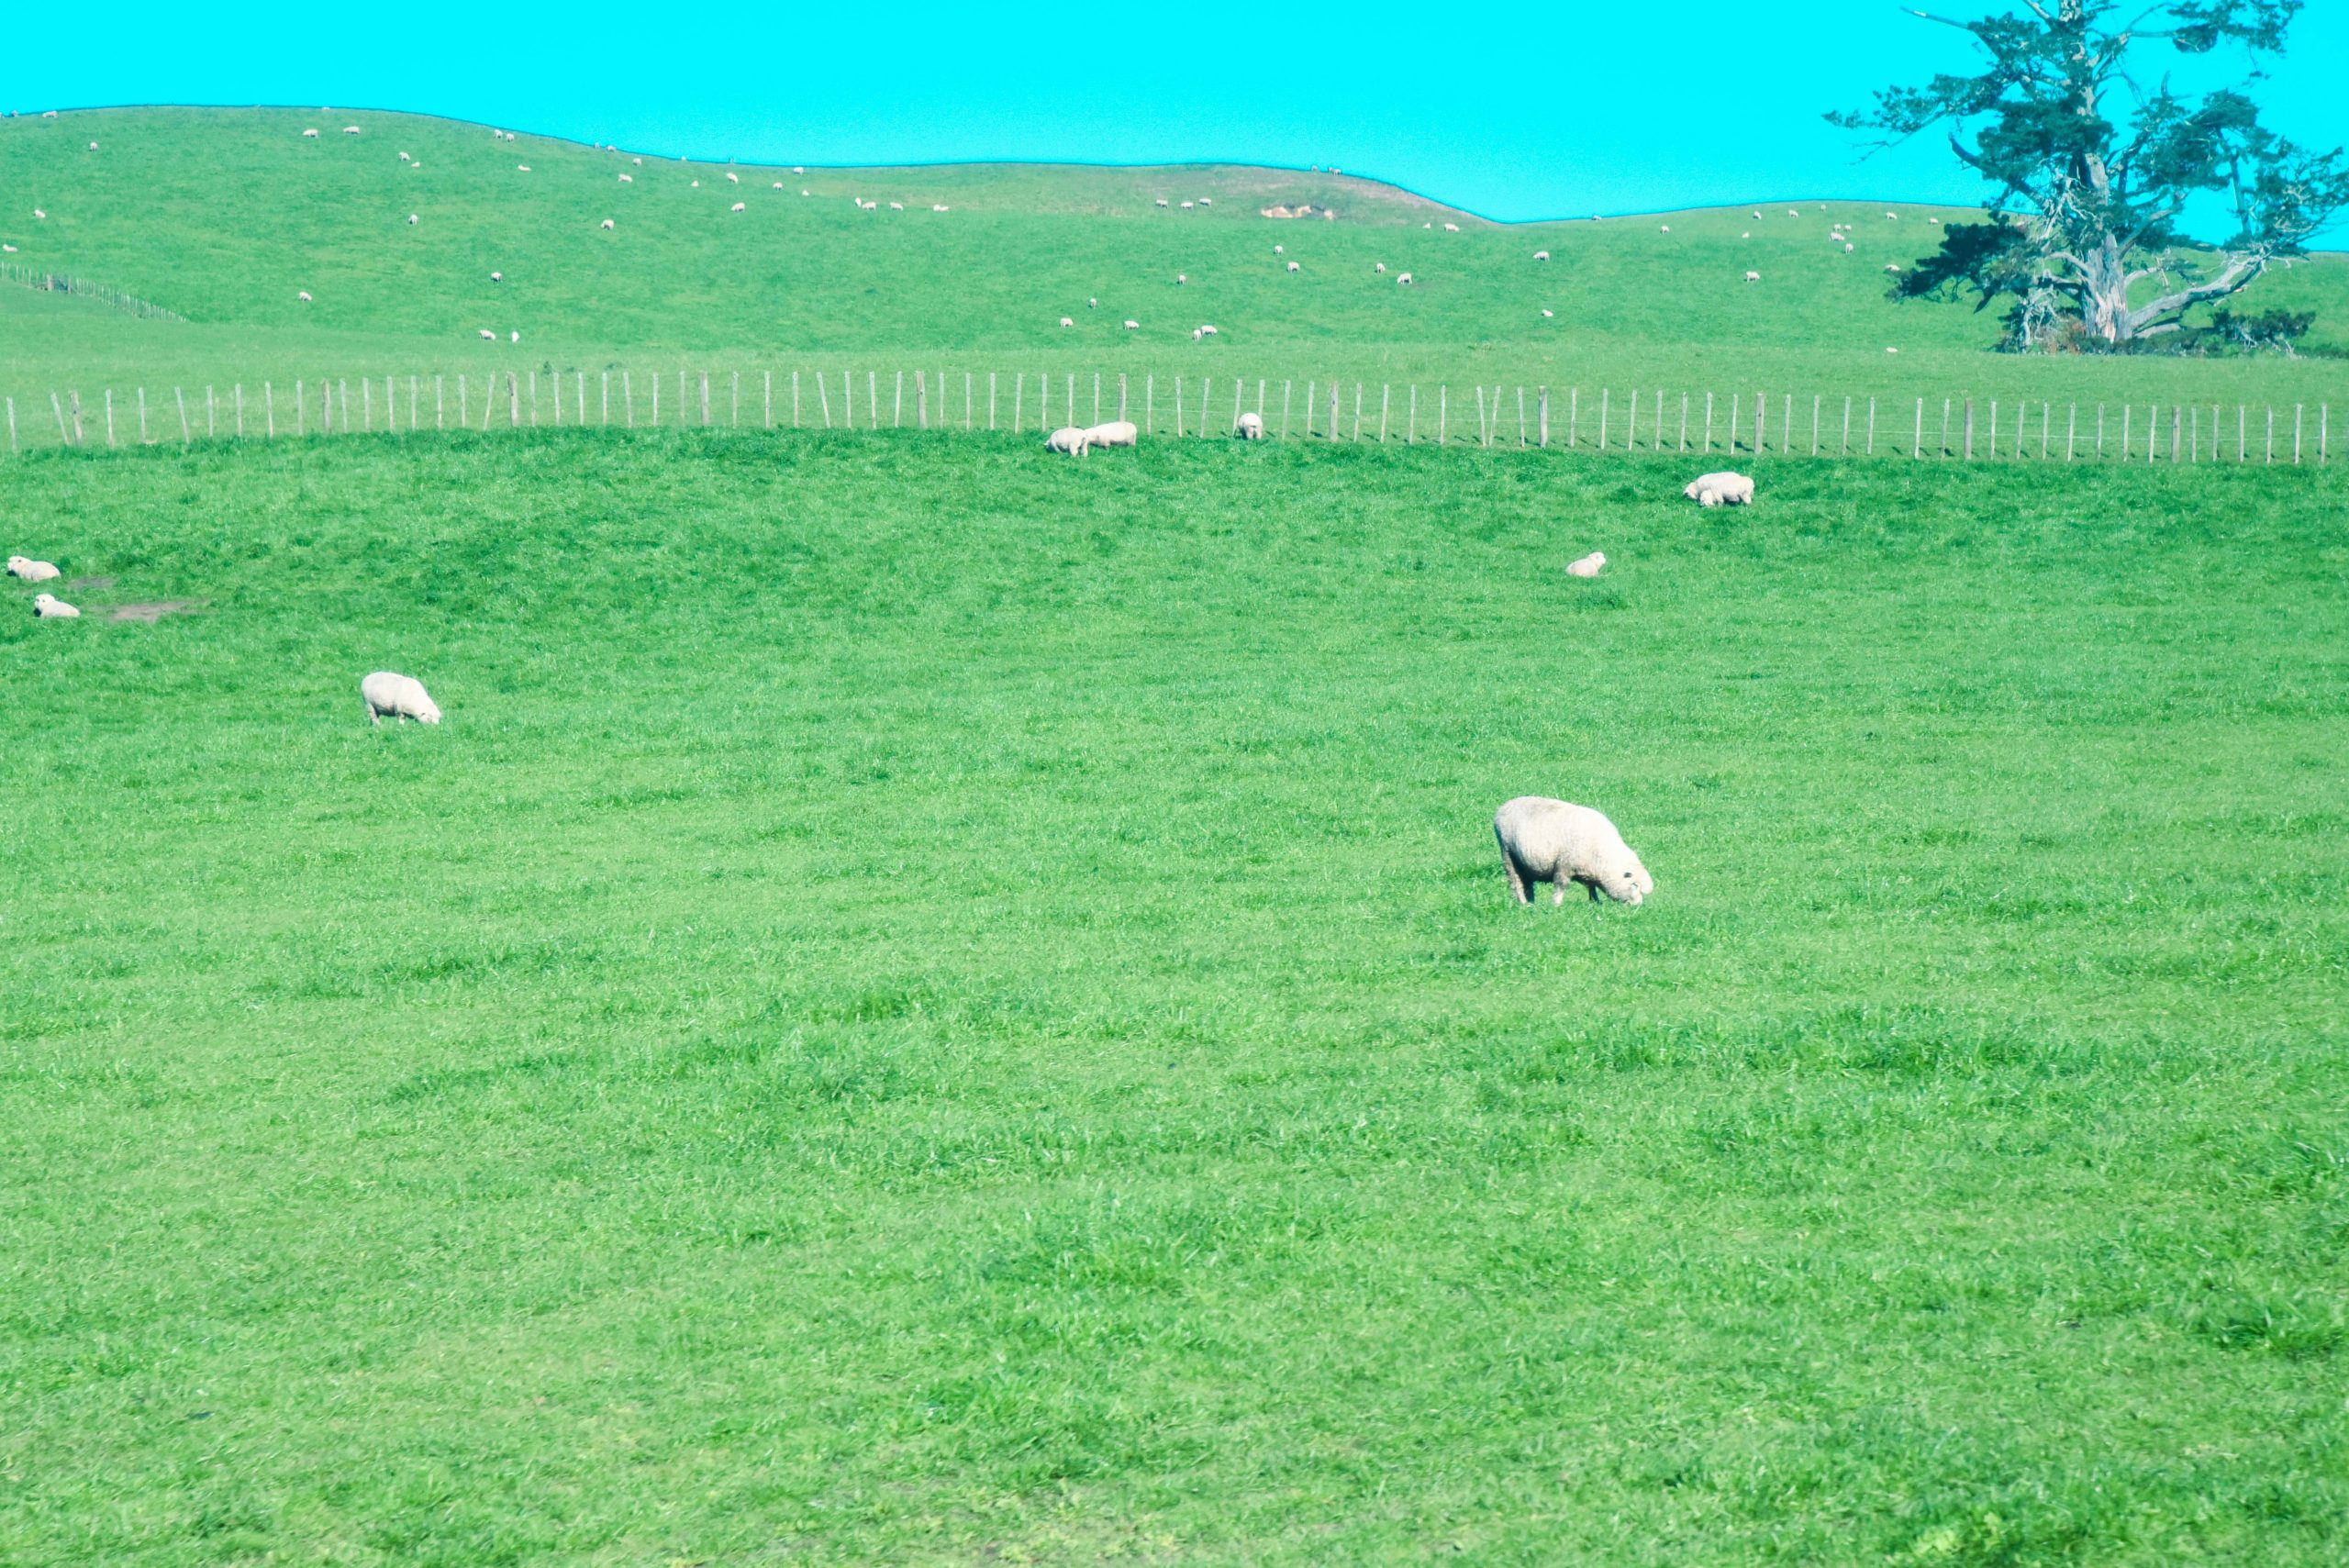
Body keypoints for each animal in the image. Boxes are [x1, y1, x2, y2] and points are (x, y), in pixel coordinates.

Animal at [1494, 797, 1652, 907]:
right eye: (1634, 885)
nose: (1637, 906)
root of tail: (1502, 808)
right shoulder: (1564, 866)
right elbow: (1561, 885)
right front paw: (1556, 905)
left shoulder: (1589, 870)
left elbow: (1591, 887)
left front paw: (1595, 903)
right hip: (1508, 853)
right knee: (1515, 881)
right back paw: (1523, 903)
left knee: (1526, 883)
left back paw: (1531, 902)